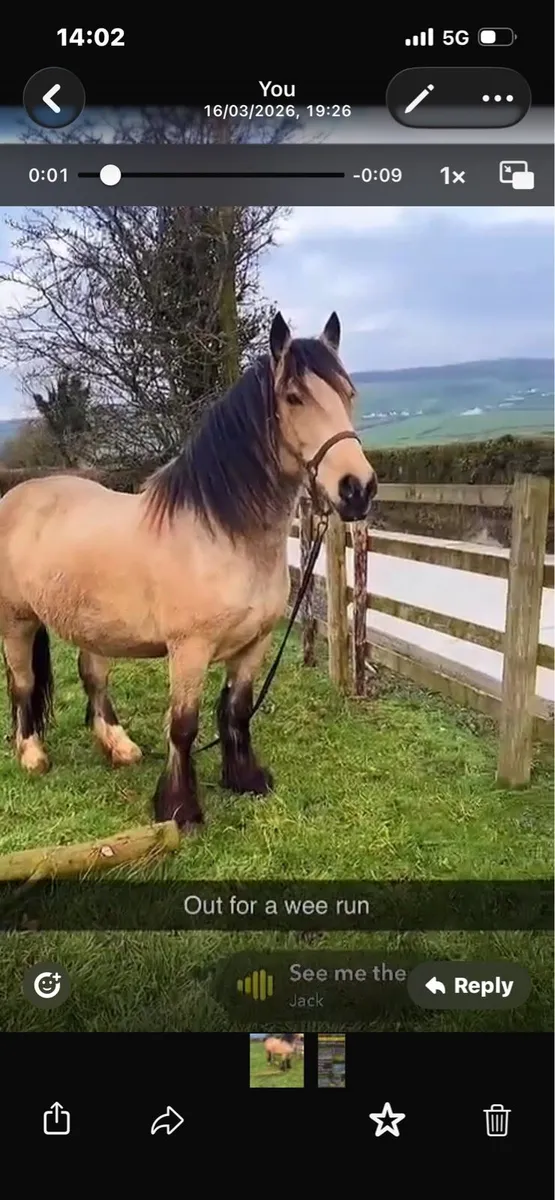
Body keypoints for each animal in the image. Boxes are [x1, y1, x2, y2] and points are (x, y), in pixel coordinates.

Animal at [0, 311, 377, 832]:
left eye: (348, 393)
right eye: (294, 397)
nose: (357, 489)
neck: (220, 534)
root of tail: (18, 495)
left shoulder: (255, 644)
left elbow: (237, 711)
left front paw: (246, 779)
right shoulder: (190, 650)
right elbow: (183, 726)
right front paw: (180, 811)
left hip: (88, 623)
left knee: (93, 676)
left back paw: (119, 747)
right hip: (17, 621)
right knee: (23, 685)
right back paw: (32, 755)